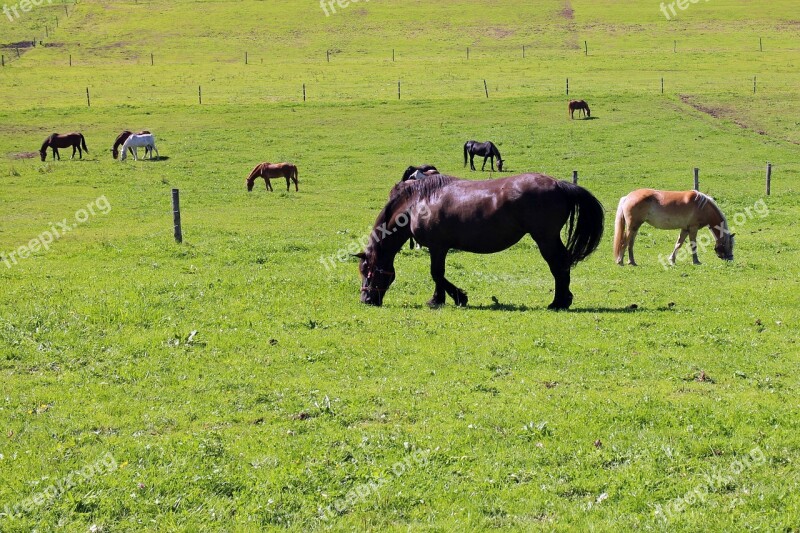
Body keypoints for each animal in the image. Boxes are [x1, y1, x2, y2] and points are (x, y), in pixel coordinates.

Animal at [360, 172, 604, 310]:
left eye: (368, 271)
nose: (366, 300)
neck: (419, 202)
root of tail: (559, 185)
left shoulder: (438, 247)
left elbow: (437, 274)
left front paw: (455, 298)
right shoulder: (439, 248)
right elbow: (438, 275)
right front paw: (441, 299)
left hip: (545, 239)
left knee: (558, 265)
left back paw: (558, 302)